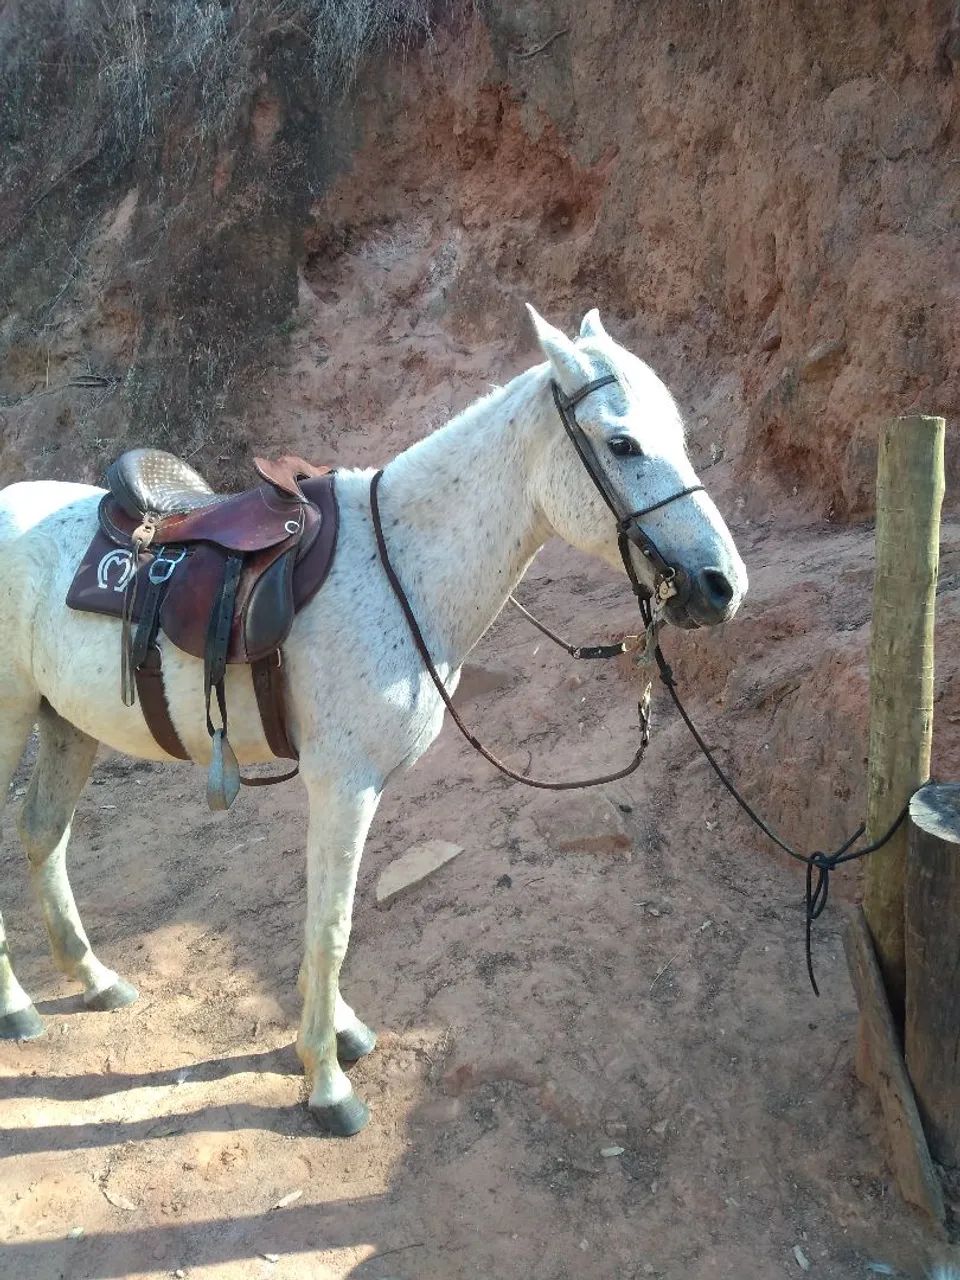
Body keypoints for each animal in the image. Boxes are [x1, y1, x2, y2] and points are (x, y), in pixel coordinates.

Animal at [0, 305, 747, 1136]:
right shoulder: (344, 784)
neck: (402, 568)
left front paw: (338, 1032)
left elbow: (328, 922)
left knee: (44, 835)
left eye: (677, 433)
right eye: (621, 444)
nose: (723, 585)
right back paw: (19, 1007)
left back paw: (95, 978)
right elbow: (332, 928)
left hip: (66, 722)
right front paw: (326, 1082)